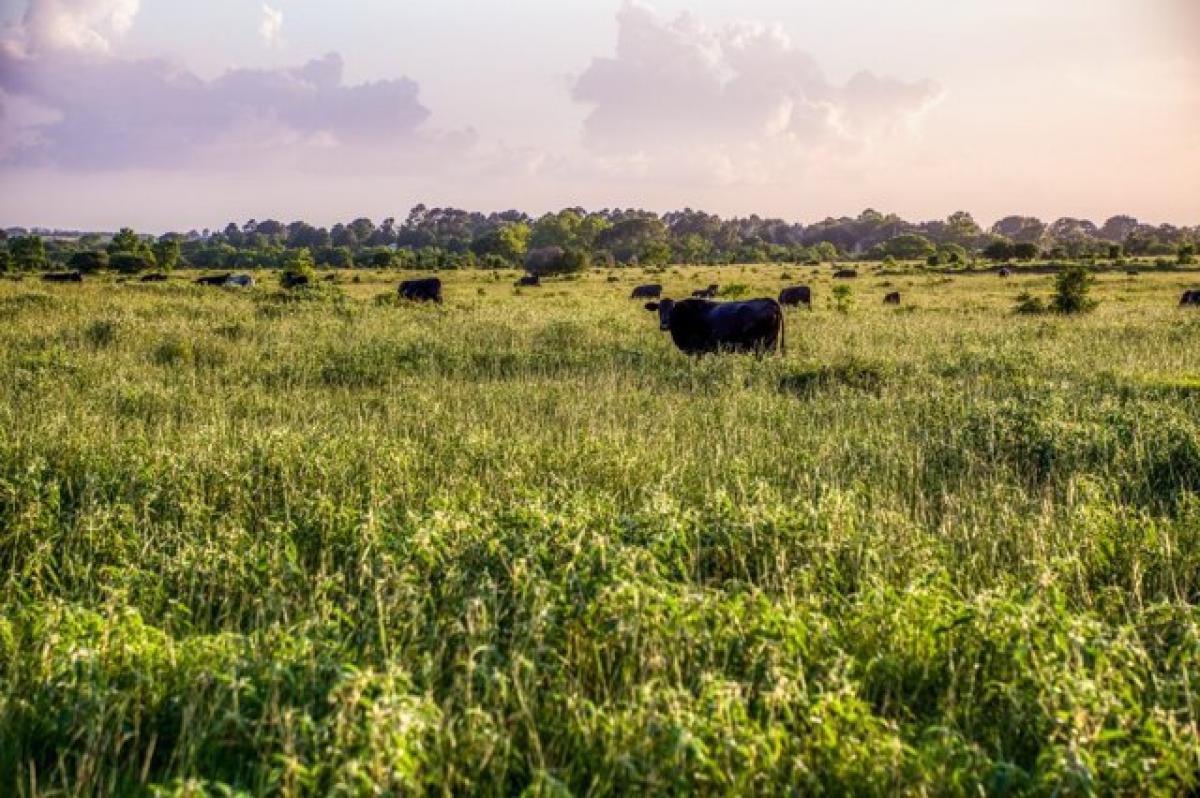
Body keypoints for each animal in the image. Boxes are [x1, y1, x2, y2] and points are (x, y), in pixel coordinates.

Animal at [643, 295, 782, 355]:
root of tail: (770, 301)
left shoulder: (697, 350)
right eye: (659, 309)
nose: (664, 324)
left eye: (673, 310)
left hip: (765, 345)